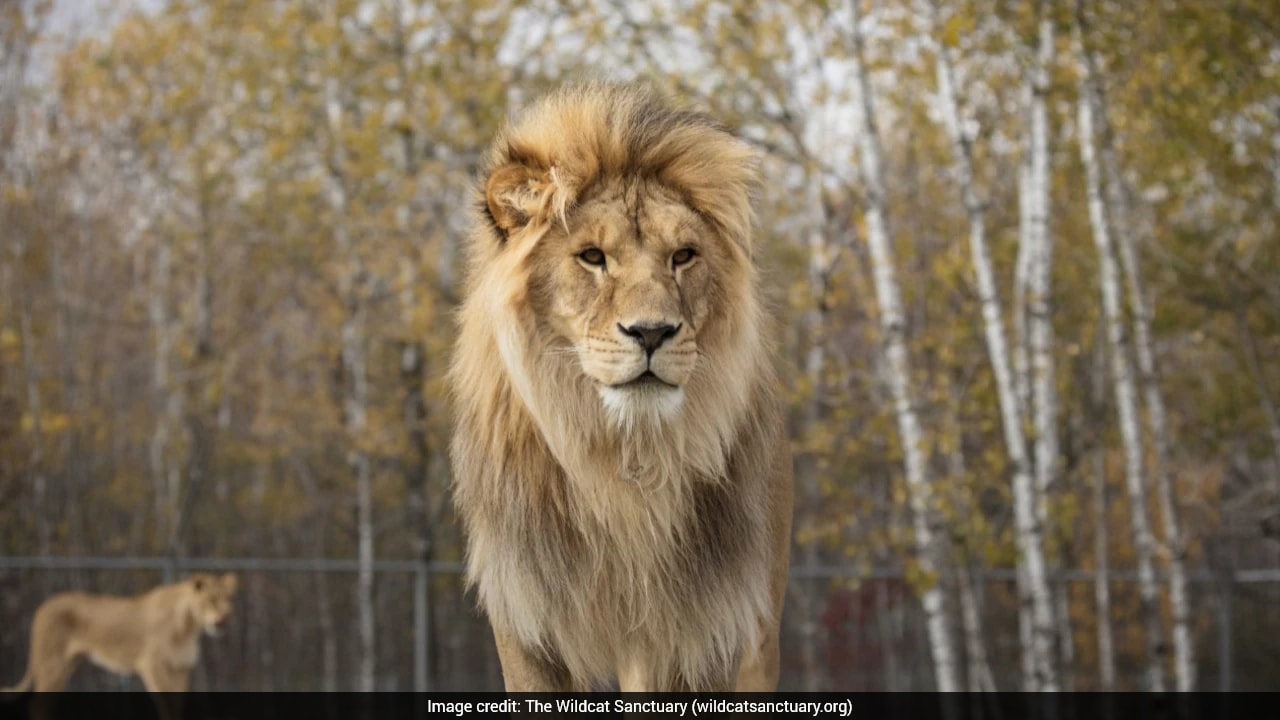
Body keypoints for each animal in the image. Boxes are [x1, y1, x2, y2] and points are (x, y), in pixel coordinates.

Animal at [3, 572, 237, 694]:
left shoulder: (181, 669)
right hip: (51, 664)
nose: (224, 619)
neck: (188, 627)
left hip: (67, 665)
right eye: (210, 600)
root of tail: (43, 607)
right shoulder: (152, 666)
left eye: (228, 599)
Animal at [448, 81, 794, 692]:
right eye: (592, 257)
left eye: (683, 256)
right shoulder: (528, 622)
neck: (625, 463)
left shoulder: (713, 630)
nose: (652, 332)